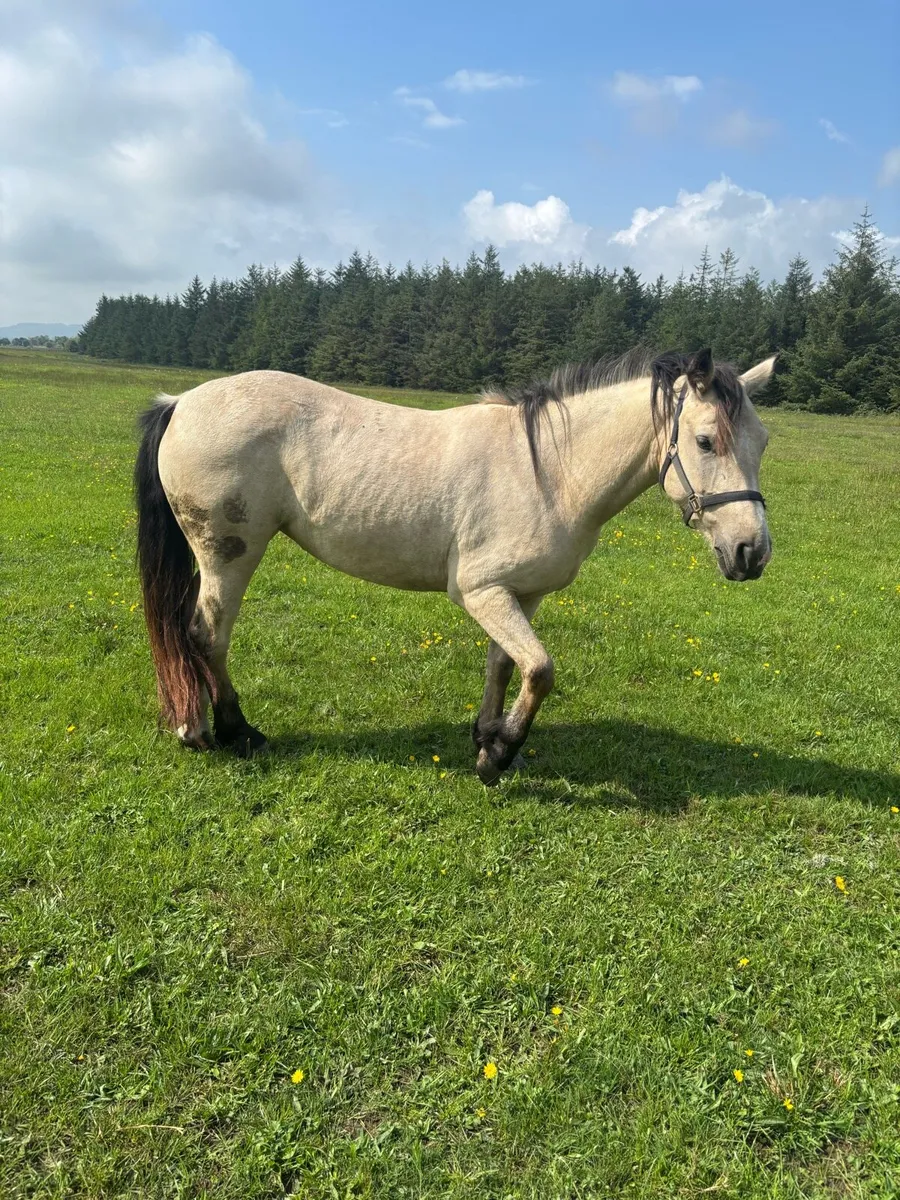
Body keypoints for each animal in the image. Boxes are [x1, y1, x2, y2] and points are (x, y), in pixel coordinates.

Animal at [134, 347, 775, 784]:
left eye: (763, 442)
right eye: (705, 441)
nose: (752, 552)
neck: (549, 471)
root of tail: (182, 402)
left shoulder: (519, 594)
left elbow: (505, 666)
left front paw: (486, 737)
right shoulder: (479, 592)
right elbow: (541, 669)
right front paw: (498, 758)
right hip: (229, 554)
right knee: (207, 634)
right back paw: (229, 732)